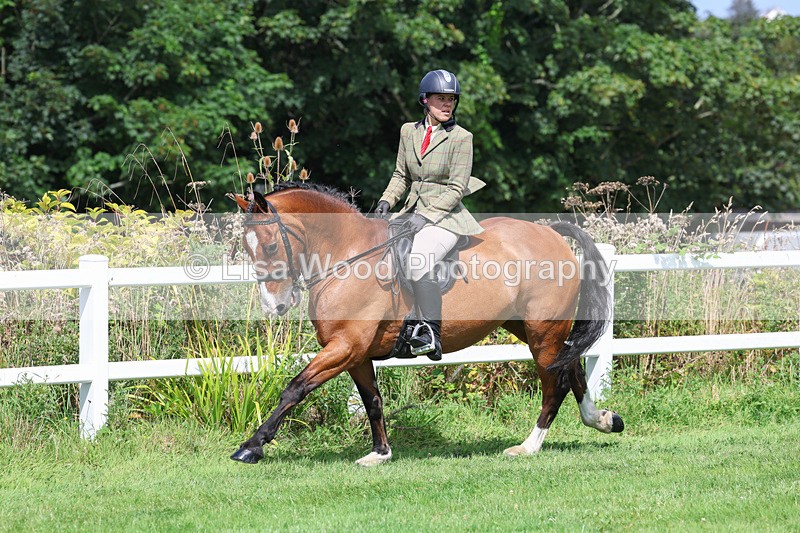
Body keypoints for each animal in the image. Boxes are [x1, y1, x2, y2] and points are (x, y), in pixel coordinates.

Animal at [229, 182, 623, 466]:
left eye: (269, 247)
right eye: (247, 250)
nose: (275, 305)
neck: (347, 256)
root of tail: (551, 233)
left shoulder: (344, 347)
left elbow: (295, 388)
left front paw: (251, 446)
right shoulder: (356, 353)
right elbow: (372, 400)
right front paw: (380, 454)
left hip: (544, 331)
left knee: (555, 384)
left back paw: (528, 447)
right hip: (529, 328)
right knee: (572, 368)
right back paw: (603, 419)